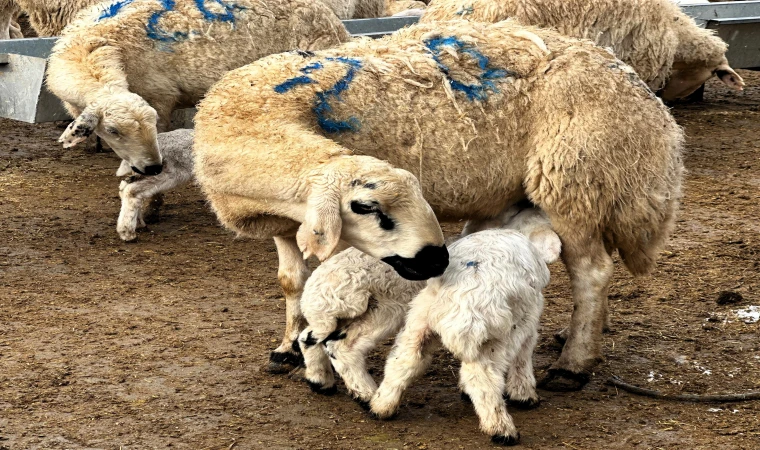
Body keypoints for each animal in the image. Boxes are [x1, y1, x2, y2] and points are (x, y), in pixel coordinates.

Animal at [49, 0, 352, 176]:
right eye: (113, 130)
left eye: (152, 124)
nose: (153, 167)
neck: (93, 47)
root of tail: (333, 20)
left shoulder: (160, 98)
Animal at [193, 18, 684, 390]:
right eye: (366, 208)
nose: (436, 259)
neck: (254, 123)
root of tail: (653, 109)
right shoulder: (282, 223)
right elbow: (291, 282)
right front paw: (288, 346)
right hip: (587, 187)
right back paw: (580, 333)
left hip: (573, 180)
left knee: (592, 271)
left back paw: (574, 364)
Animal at [296, 206, 560, 438]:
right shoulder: (527, 320)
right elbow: (523, 355)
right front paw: (524, 395)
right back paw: (501, 430)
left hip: (398, 315)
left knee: (317, 339)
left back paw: (340, 389)